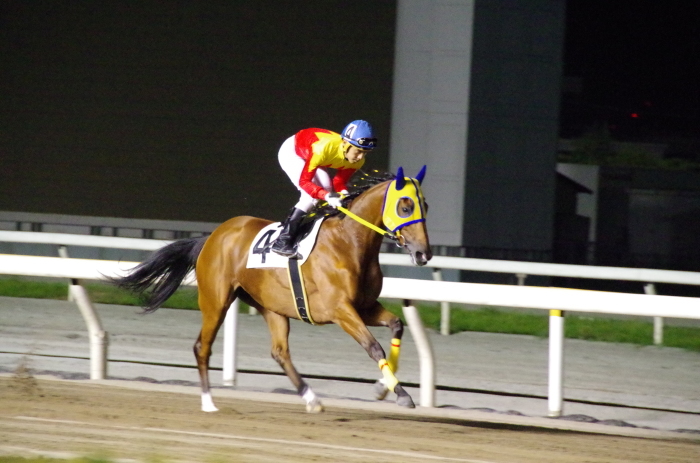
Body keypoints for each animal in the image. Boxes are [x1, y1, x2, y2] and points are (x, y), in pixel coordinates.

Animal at [113, 167, 432, 414]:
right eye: (405, 206)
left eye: (425, 206)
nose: (424, 254)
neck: (349, 243)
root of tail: (213, 235)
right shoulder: (340, 310)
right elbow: (373, 345)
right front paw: (400, 393)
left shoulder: (364, 307)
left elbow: (397, 325)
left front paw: (383, 388)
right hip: (216, 301)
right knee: (202, 346)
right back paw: (208, 402)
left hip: (270, 305)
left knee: (279, 352)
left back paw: (312, 399)